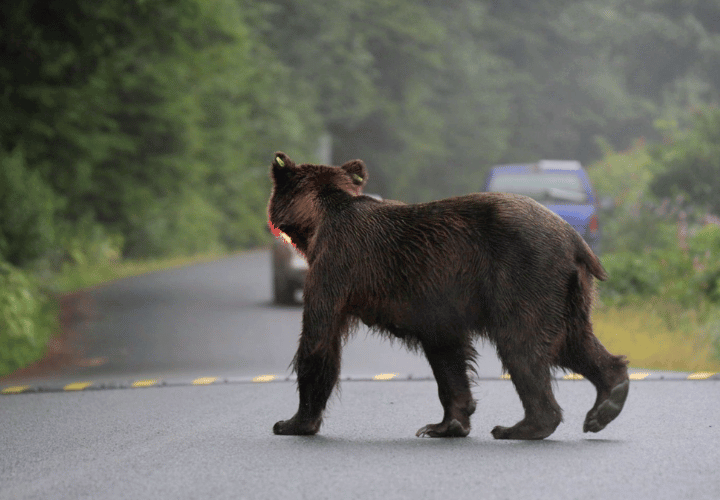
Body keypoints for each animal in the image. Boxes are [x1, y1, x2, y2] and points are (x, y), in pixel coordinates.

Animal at [267, 151, 629, 440]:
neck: (317, 223)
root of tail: (572, 238)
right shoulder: (436, 302)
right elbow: (448, 354)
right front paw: (445, 424)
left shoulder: (336, 266)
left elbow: (319, 339)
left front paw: (293, 422)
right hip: (568, 291)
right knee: (573, 341)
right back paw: (608, 397)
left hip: (524, 274)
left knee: (523, 344)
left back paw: (520, 427)